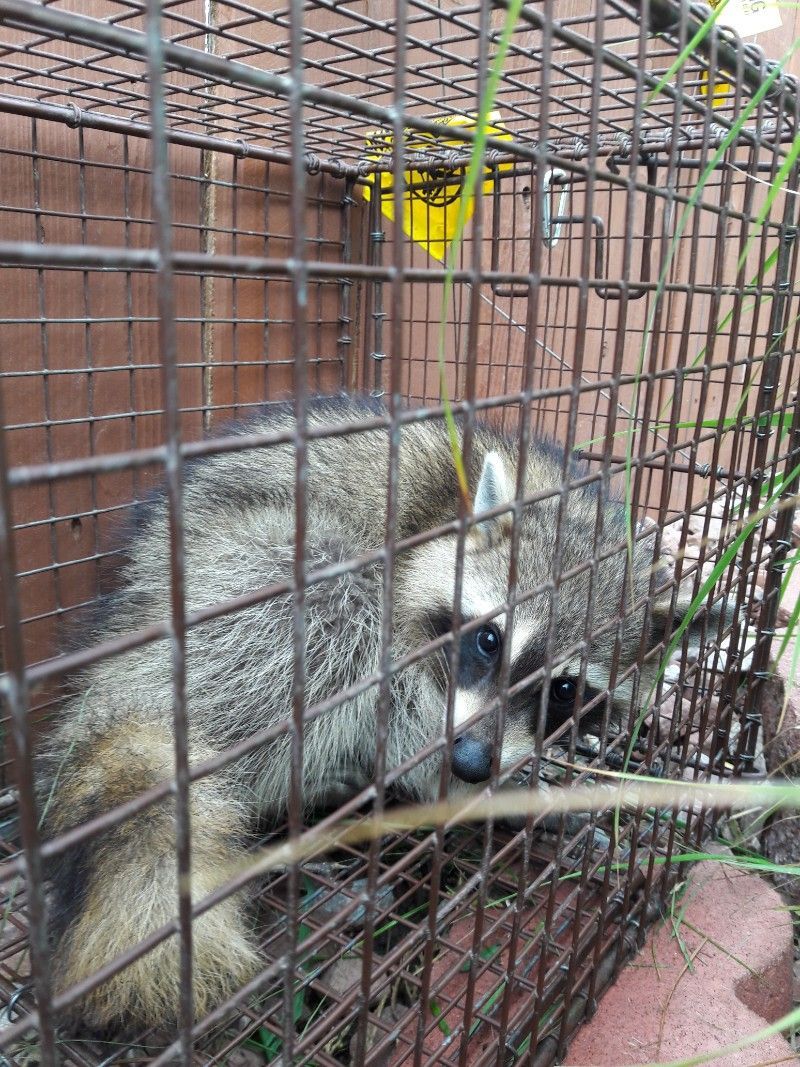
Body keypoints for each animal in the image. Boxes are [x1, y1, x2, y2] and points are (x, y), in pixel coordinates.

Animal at [39, 395, 693, 1036]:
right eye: (489, 640)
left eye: (564, 689)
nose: (471, 763)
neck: (570, 510)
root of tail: (117, 657)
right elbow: (403, 708)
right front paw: (484, 788)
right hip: (237, 587)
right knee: (332, 597)